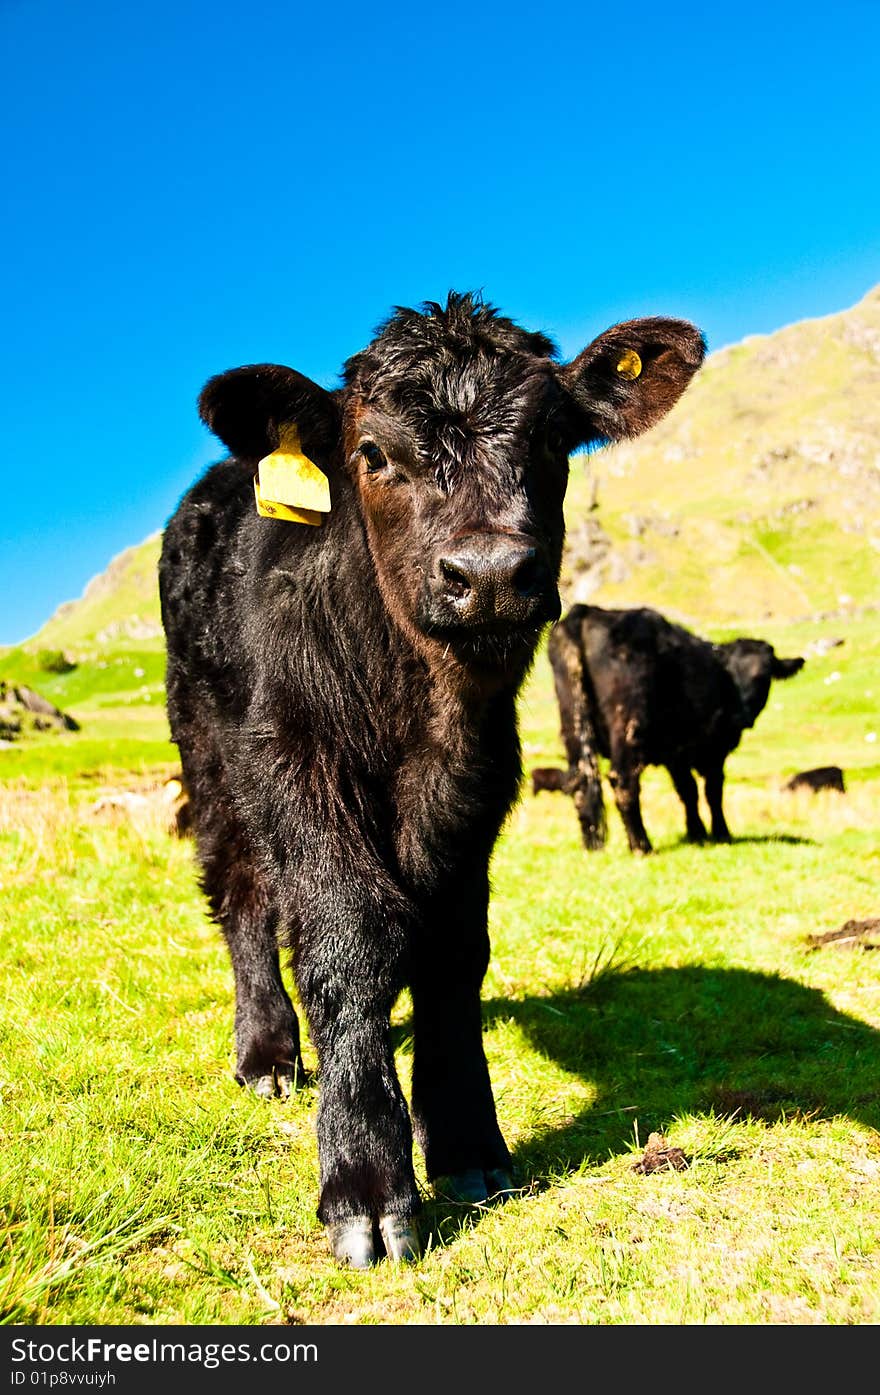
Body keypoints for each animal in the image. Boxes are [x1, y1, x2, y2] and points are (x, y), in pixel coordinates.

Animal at [160, 291, 708, 1266]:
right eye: (373, 453)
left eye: (553, 439)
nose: (487, 575)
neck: (407, 690)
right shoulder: (296, 761)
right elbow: (350, 939)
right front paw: (366, 1180)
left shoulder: (477, 776)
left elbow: (452, 948)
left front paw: (465, 1142)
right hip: (211, 752)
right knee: (241, 891)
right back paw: (267, 1052)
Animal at [538, 605, 803, 853]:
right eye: (757, 677)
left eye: (764, 677)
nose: (742, 716)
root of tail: (587, 612)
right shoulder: (713, 749)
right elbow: (712, 790)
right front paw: (720, 832)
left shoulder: (676, 753)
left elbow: (687, 790)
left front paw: (696, 832)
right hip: (627, 725)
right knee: (624, 780)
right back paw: (642, 845)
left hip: (572, 719)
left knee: (581, 780)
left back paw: (592, 844)